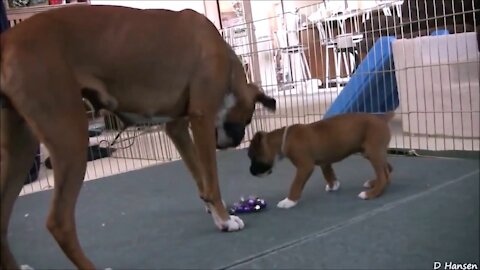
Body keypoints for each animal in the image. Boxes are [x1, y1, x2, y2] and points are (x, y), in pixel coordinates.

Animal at [0, 4, 278, 270]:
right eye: (248, 119)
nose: (235, 143)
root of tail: (9, 38)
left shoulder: (176, 128)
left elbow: (200, 177)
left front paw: (213, 213)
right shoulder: (202, 120)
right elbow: (211, 178)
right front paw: (225, 219)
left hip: (21, 147)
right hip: (69, 137)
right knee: (59, 222)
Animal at [248, 112, 394, 209]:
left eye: (252, 156)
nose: (251, 172)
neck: (284, 138)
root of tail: (382, 118)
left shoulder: (305, 167)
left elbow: (295, 184)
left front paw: (289, 201)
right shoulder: (324, 162)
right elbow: (328, 173)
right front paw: (334, 185)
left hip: (373, 152)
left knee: (383, 175)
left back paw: (371, 193)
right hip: (372, 153)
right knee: (388, 170)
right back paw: (373, 183)